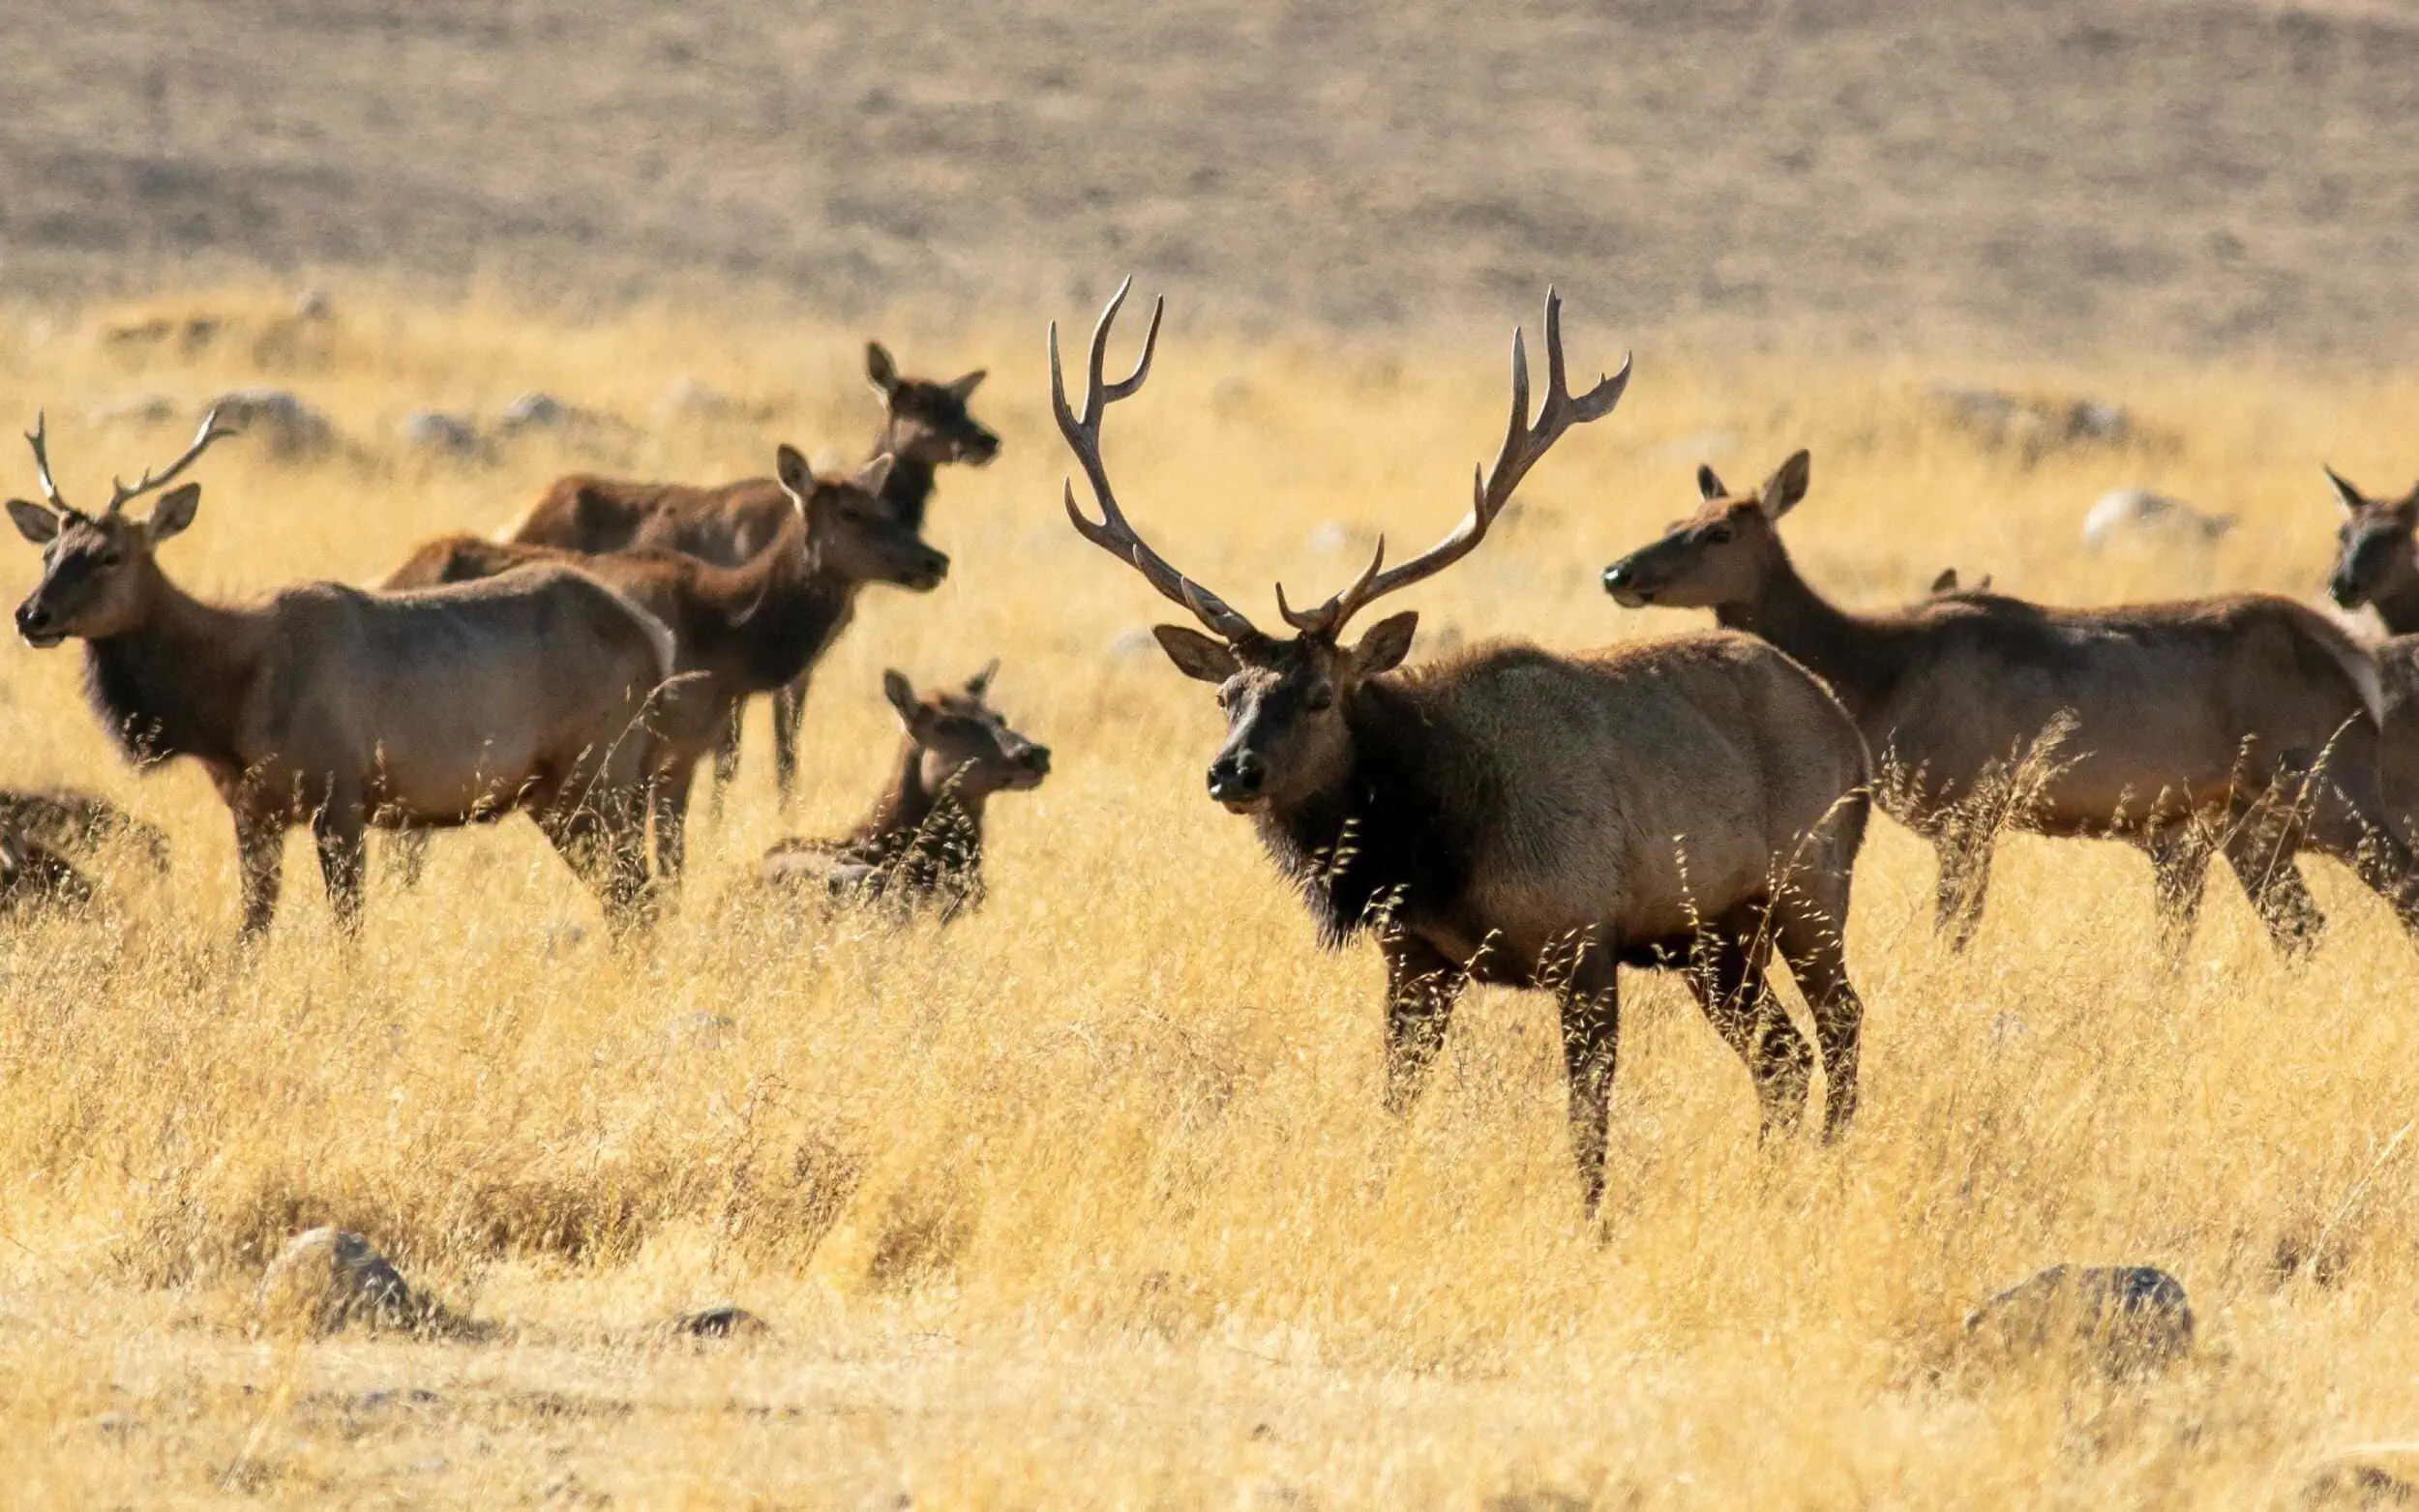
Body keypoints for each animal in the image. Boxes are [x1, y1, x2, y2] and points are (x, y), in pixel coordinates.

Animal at [7, 413, 676, 938]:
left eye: (110, 556)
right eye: (48, 553)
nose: (30, 614)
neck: (227, 705)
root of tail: (656, 637)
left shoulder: (343, 793)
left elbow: (347, 928)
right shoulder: (252, 809)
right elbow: (252, 930)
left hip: (599, 772)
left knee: (638, 896)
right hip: (557, 796)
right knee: (629, 898)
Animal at [380, 447, 914, 886]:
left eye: (888, 509)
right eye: (850, 513)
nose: (929, 560)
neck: (731, 643)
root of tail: (391, 574)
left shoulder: (682, 754)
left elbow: (673, 866)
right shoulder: (650, 753)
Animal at [502, 344, 991, 804]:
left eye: (961, 402)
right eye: (920, 404)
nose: (988, 441)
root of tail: (519, 517)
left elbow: (783, 751)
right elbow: (735, 759)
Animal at [1057, 283, 1874, 1215]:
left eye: (1322, 694)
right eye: (1225, 696)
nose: (1233, 771)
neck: (1436, 844)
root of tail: (1848, 729)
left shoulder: (1583, 941)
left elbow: (1586, 1127)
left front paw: (1592, 1227)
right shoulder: (1415, 958)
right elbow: (1395, 1106)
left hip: (1811, 886)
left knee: (1841, 1024)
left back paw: (1829, 1166)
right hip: (1715, 937)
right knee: (1783, 1056)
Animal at [1602, 450, 2419, 959]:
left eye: (1717, 531)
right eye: (1672, 520)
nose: (1618, 571)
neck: (1873, 676)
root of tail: (2351, 658)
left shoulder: (1969, 805)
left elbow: (1954, 933)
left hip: (2326, 778)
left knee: (2399, 884)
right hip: (2251, 819)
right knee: (2303, 926)